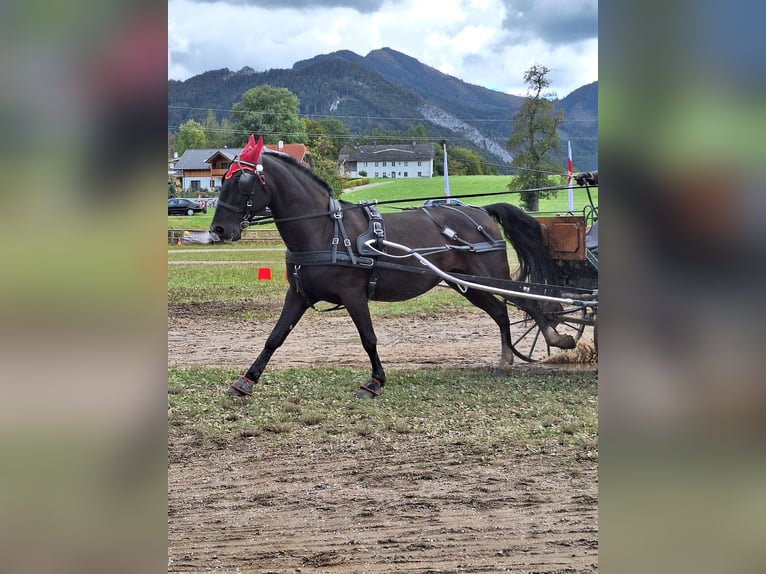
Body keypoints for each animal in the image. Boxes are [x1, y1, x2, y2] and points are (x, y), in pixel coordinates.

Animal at [207, 137, 572, 398]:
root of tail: (480, 211)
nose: (219, 230)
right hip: (466, 284)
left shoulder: (353, 295)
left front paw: (375, 382)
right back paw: (507, 359)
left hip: (489, 276)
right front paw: (247, 379)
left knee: (526, 301)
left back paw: (555, 337)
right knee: (500, 311)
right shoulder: (298, 295)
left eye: (242, 183)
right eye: (221, 180)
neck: (325, 230)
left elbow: (368, 338)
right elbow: (275, 336)